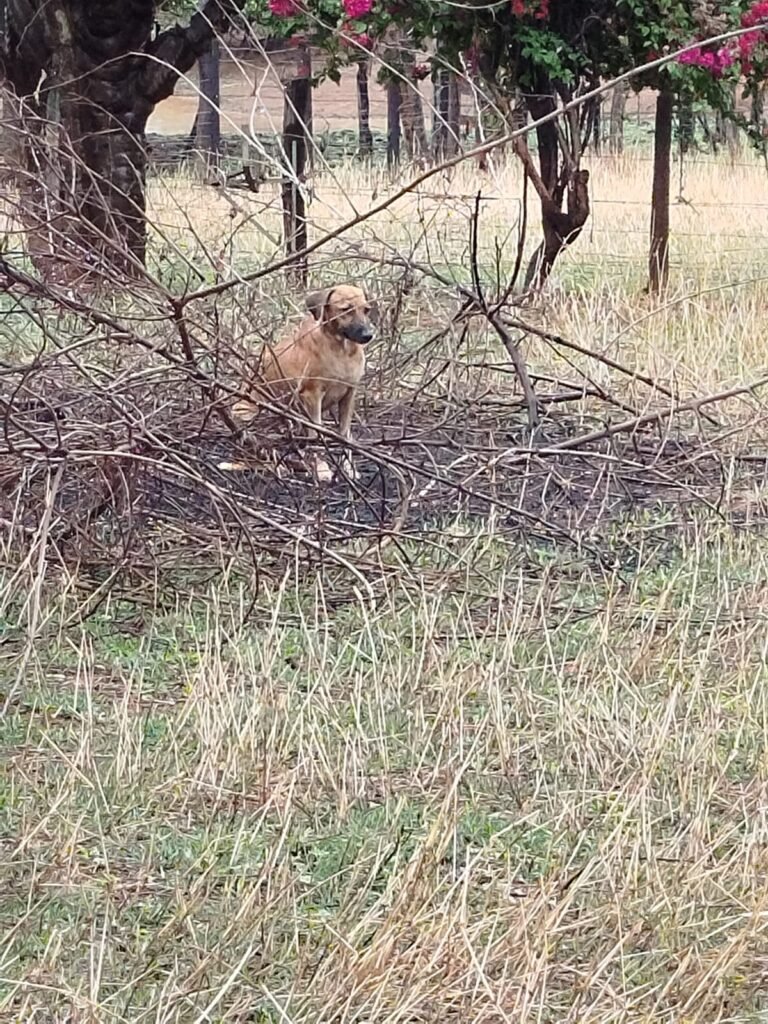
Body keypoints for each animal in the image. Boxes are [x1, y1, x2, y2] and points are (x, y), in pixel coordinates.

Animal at [231, 284, 375, 482]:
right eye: (346, 310)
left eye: (366, 310)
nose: (368, 335)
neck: (341, 351)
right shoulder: (312, 395)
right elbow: (316, 434)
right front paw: (321, 468)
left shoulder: (349, 395)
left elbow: (345, 434)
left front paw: (347, 467)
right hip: (251, 410)